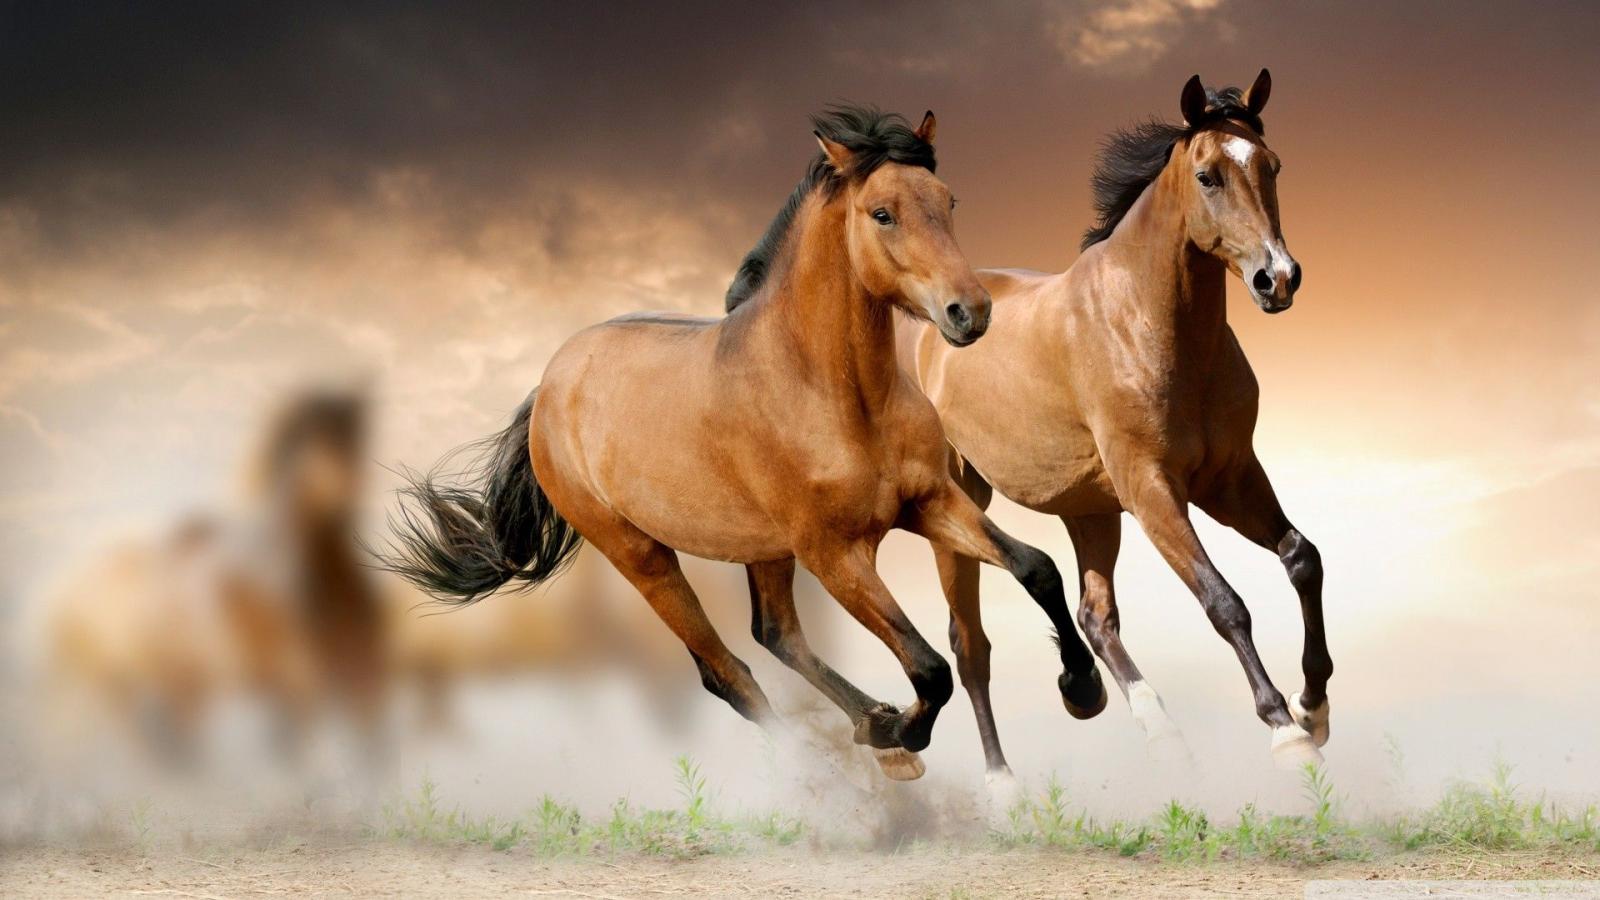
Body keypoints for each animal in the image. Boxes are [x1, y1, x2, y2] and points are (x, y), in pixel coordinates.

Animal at [379, 106, 1105, 783]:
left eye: (948, 201)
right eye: (882, 213)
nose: (969, 312)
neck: (837, 394)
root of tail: (549, 388)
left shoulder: (928, 502)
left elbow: (1036, 567)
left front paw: (1082, 689)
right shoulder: (834, 553)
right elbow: (928, 668)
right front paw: (903, 732)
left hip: (763, 549)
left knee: (775, 634)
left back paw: (872, 727)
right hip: (643, 555)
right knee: (727, 672)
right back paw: (846, 763)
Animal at [899, 70, 1330, 775]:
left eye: (1272, 166)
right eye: (1208, 175)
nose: (1279, 278)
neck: (1146, 323)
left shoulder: (1230, 478)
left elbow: (1302, 558)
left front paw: (1313, 706)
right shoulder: (1153, 488)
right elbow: (1224, 602)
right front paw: (1283, 728)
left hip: (1091, 510)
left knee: (1095, 616)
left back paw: (1145, 722)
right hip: (960, 502)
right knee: (970, 646)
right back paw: (1002, 781)